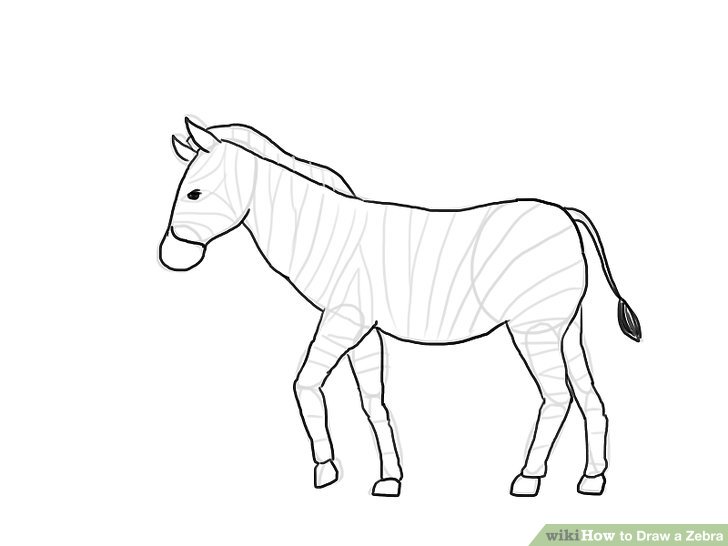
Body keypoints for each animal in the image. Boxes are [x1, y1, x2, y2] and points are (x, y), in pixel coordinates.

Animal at [159, 117, 642, 498]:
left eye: (194, 194)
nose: (169, 258)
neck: (327, 233)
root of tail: (566, 213)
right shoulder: (363, 331)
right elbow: (374, 403)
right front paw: (389, 479)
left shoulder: (343, 320)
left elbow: (305, 385)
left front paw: (325, 470)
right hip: (565, 327)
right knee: (589, 397)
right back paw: (592, 479)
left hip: (533, 328)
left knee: (558, 397)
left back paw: (528, 478)